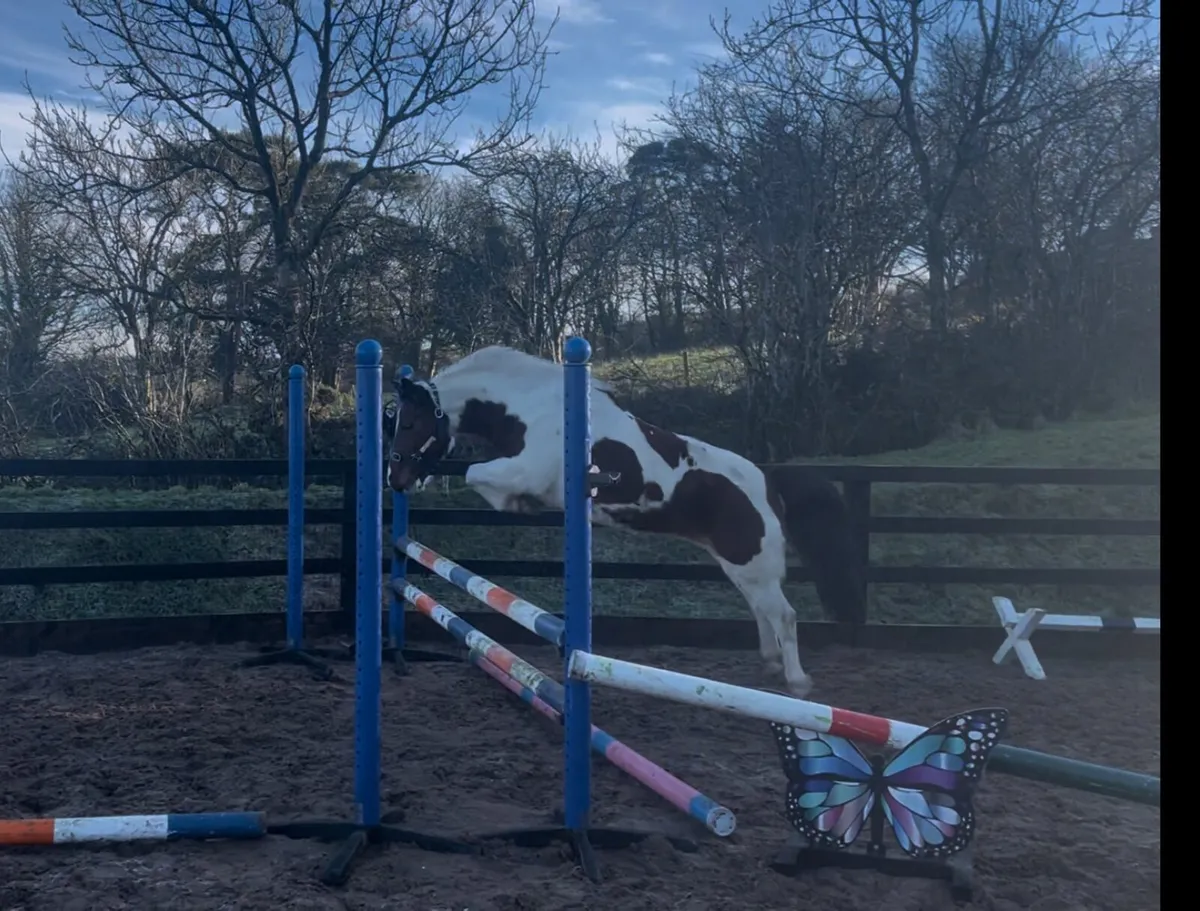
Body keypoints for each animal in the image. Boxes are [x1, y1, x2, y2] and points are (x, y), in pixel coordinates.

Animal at [385, 345, 864, 697]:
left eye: (408, 423)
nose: (396, 478)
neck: (533, 409)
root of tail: (768, 481)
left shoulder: (525, 470)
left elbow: (475, 474)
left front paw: (520, 505)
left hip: (751, 562)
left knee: (784, 614)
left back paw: (797, 682)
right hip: (742, 565)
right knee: (761, 608)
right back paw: (769, 665)